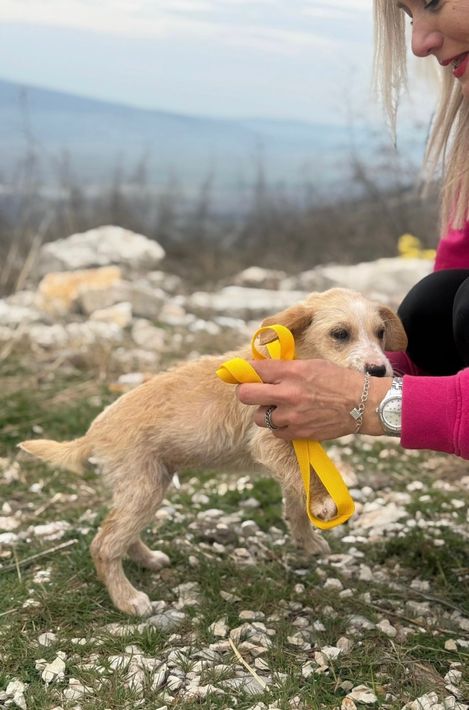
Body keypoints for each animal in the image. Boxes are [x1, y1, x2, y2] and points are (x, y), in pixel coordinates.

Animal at [19, 288, 407, 616]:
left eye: (380, 333)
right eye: (340, 334)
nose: (380, 370)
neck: (292, 357)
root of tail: (94, 431)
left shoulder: (295, 441)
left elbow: (296, 496)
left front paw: (307, 540)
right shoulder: (268, 438)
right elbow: (303, 478)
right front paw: (325, 503)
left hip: (147, 486)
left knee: (120, 533)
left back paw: (147, 559)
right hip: (144, 486)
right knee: (104, 544)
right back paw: (128, 599)